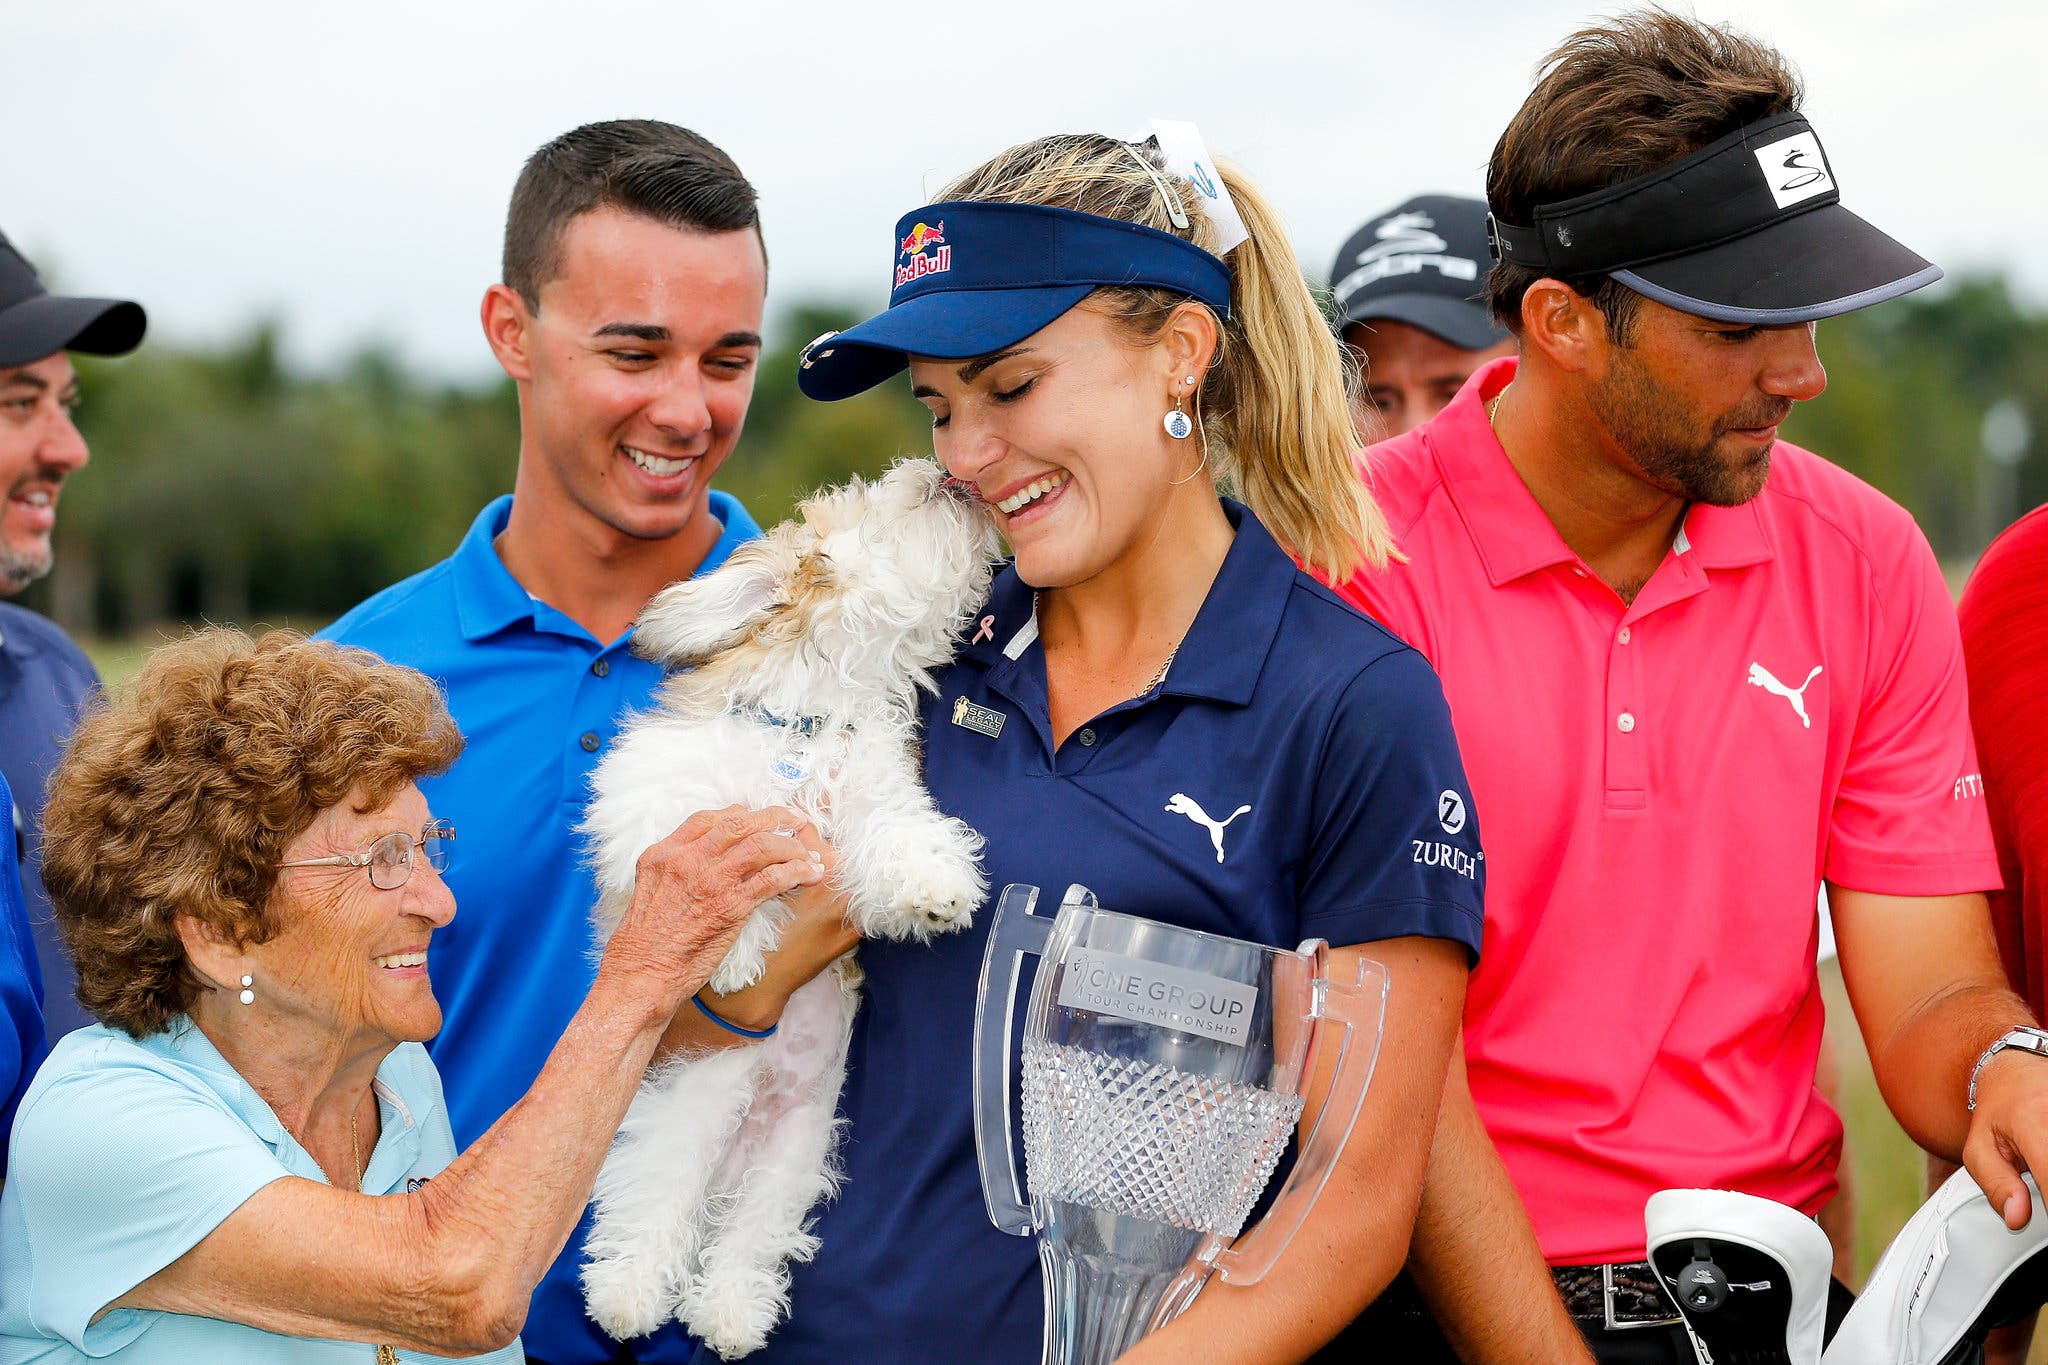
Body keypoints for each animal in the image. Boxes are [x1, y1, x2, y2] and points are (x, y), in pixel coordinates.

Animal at [577, 456, 999, 1358]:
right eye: (870, 496)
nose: (941, 467)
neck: (811, 720)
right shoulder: (651, 796)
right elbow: (698, 843)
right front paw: (735, 947)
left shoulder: (875, 798)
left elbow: (900, 833)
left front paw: (936, 885)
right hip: (683, 1117)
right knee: (648, 1206)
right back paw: (628, 1295)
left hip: (792, 1158)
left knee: (746, 1240)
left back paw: (729, 1312)